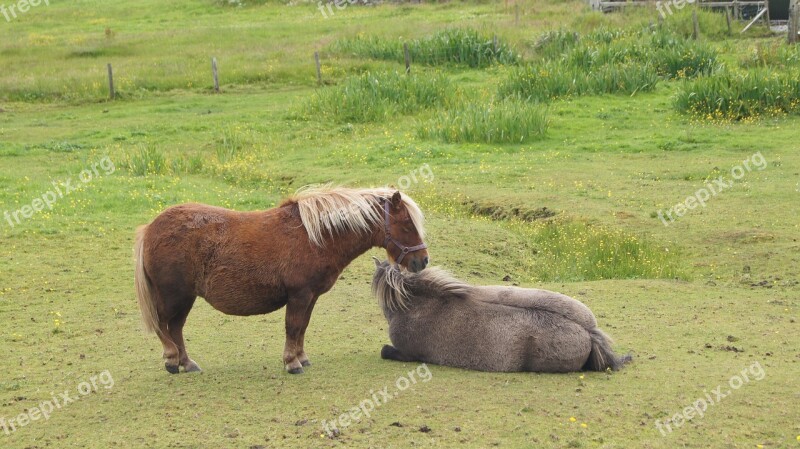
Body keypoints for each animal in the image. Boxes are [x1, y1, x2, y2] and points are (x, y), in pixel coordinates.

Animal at [134, 186, 428, 374]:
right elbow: (293, 327)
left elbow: (302, 328)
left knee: (175, 328)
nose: (422, 261)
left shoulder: (310, 297)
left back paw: (186, 362)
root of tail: (151, 228)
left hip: (184, 299)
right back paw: (172, 360)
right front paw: (291, 362)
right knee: (164, 327)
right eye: (407, 225)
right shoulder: (299, 295)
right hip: (175, 296)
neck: (315, 237)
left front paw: (301, 358)